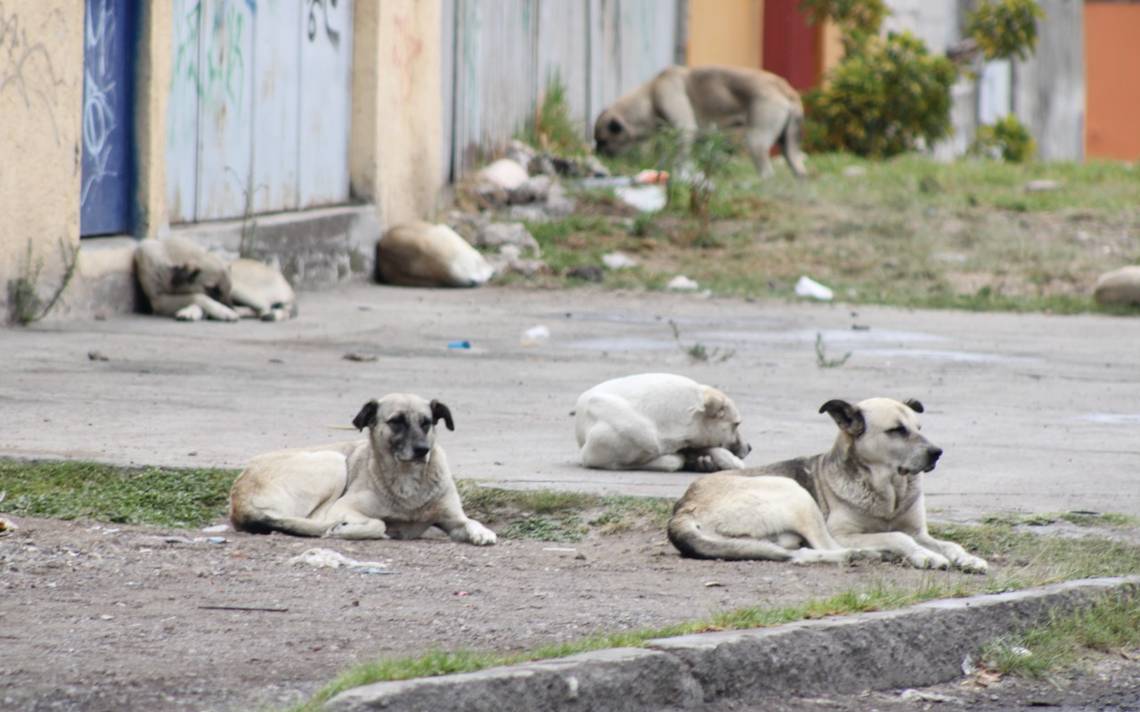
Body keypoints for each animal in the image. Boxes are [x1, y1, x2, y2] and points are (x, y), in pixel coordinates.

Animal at [133, 234, 296, 321]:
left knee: (266, 308)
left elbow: (197, 297)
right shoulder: (158, 300)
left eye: (224, 289)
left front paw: (223, 311)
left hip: (242, 291)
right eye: (213, 289)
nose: (230, 307)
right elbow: (198, 296)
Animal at [229, 394, 497, 544]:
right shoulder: (343, 508)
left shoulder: (453, 520)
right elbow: (379, 523)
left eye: (426, 422)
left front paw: (483, 533)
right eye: (396, 421)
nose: (423, 450)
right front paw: (346, 530)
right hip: (333, 461)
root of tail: (238, 498)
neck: (407, 480)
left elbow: (471, 522)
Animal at [592, 64, 807, 177]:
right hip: (789, 148)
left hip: (756, 141)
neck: (649, 97)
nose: (596, 152)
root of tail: (785, 88)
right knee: (799, 170)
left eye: (603, 141)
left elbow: (681, 158)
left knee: (766, 172)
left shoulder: (685, 130)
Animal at [665, 400, 989, 571]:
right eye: (897, 430)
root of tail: (683, 507)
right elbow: (898, 537)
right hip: (793, 492)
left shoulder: (919, 531)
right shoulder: (845, 533)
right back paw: (865, 555)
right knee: (826, 547)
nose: (937, 453)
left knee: (800, 554)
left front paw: (967, 558)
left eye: (919, 428)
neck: (888, 492)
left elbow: (948, 543)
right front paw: (926, 556)